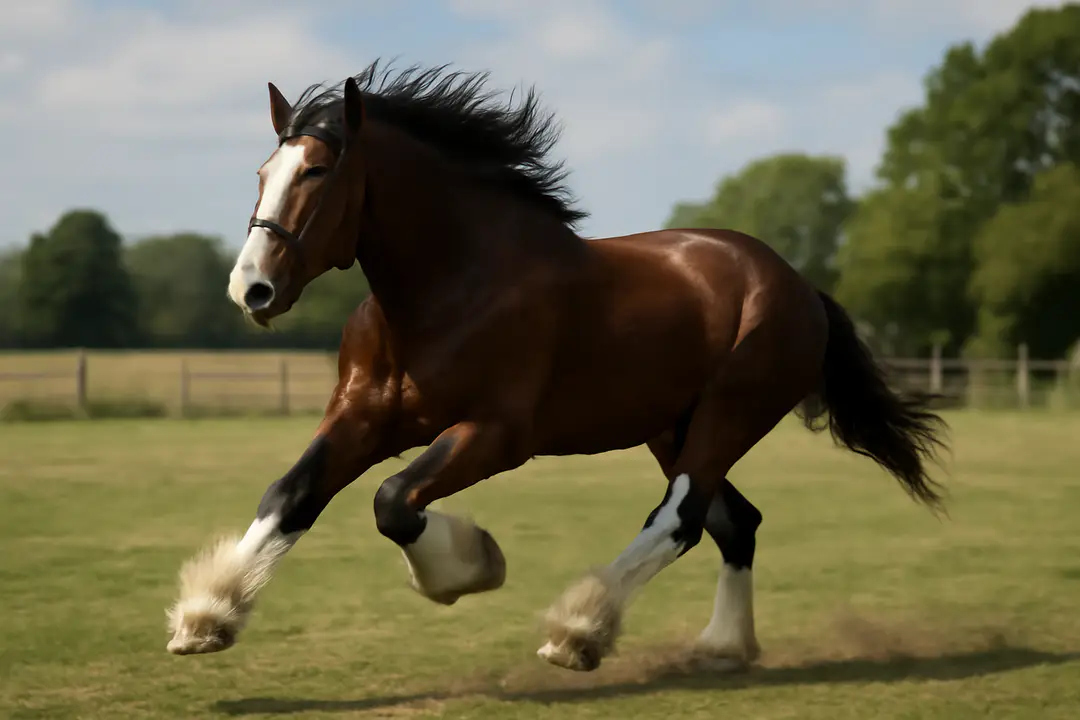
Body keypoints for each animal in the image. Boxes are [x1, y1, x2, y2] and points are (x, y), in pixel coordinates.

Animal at [165, 61, 948, 672]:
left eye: (318, 170)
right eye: (264, 172)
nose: (251, 289)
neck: (452, 285)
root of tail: (798, 284)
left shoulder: (498, 433)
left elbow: (394, 500)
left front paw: (474, 564)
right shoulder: (364, 416)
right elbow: (292, 494)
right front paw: (205, 617)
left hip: (730, 415)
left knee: (683, 518)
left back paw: (578, 632)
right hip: (672, 427)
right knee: (736, 523)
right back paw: (722, 646)